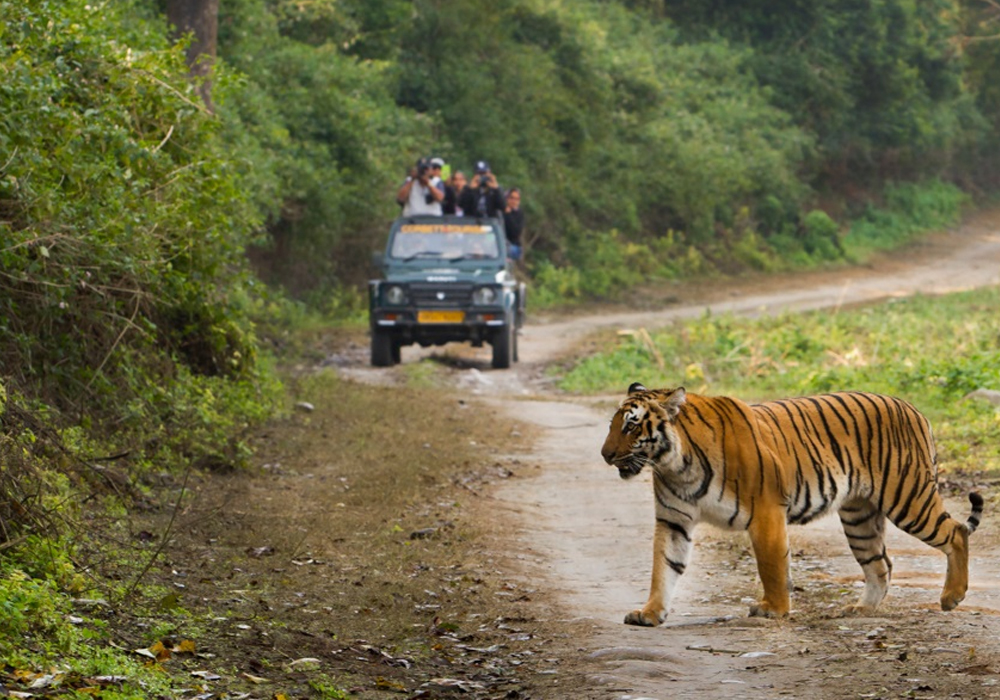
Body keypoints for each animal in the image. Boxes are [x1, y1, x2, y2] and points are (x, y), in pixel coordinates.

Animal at [600, 386, 984, 628]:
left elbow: (771, 565)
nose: (605, 455)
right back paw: (860, 609)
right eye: (612, 425)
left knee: (956, 532)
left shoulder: (766, 511)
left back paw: (951, 597)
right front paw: (650, 613)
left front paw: (773, 609)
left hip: (908, 497)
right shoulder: (673, 520)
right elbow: (663, 568)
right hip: (859, 517)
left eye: (631, 426)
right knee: (881, 564)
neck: (675, 464)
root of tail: (914, 408)